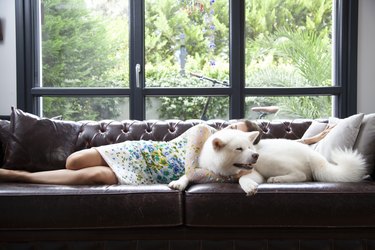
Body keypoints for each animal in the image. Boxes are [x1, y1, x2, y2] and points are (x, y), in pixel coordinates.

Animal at [170, 129, 368, 195]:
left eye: (250, 147)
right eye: (239, 149)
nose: (255, 155)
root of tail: (313, 155)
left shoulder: (255, 172)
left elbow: (244, 178)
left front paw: (248, 186)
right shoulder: (201, 169)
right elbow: (187, 175)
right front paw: (178, 182)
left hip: (270, 160)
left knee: (302, 175)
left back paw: (277, 179)